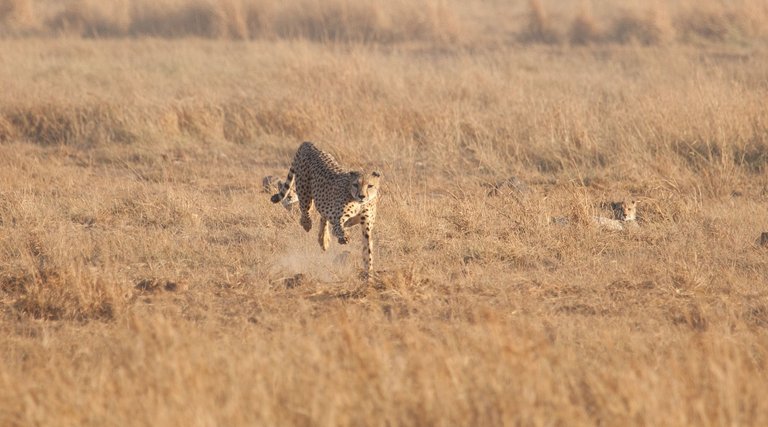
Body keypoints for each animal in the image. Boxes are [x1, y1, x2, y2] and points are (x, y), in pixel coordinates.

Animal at [270, 142, 380, 280]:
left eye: (370, 185)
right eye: (355, 184)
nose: (361, 196)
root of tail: (309, 145)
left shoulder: (366, 226)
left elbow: (367, 250)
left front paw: (369, 273)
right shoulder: (338, 217)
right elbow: (338, 228)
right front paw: (344, 237)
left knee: (323, 217)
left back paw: (323, 240)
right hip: (304, 192)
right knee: (306, 211)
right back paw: (307, 225)